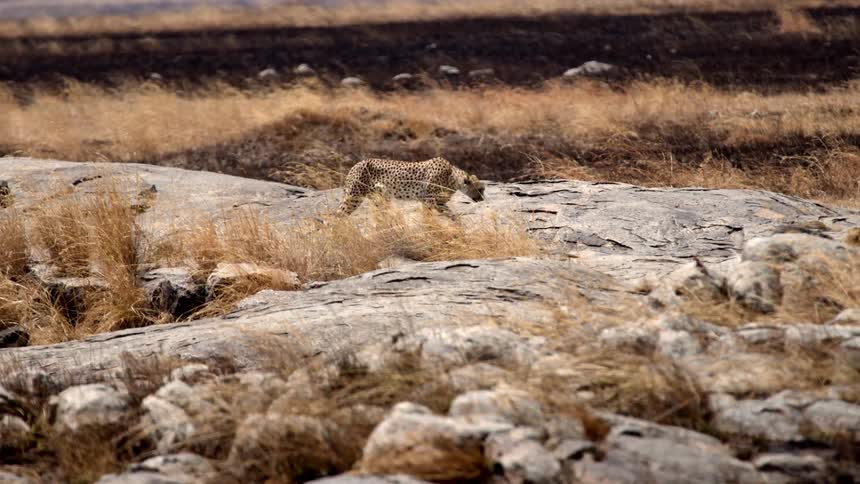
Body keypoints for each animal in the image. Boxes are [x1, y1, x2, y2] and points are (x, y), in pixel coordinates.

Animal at [337, 157, 485, 216]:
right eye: (480, 189)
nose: (483, 199)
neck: (452, 178)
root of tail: (356, 164)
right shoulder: (431, 201)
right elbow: (449, 214)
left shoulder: (432, 202)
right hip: (354, 197)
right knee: (337, 215)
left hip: (381, 198)